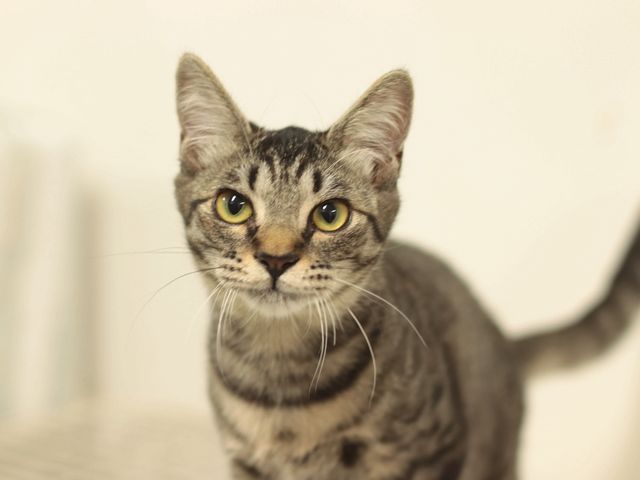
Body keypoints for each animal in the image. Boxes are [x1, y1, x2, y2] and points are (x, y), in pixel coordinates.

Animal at [173, 53, 640, 480]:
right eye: (234, 205)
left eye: (330, 214)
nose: (276, 257)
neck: (280, 375)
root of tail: (504, 343)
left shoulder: (436, 451)